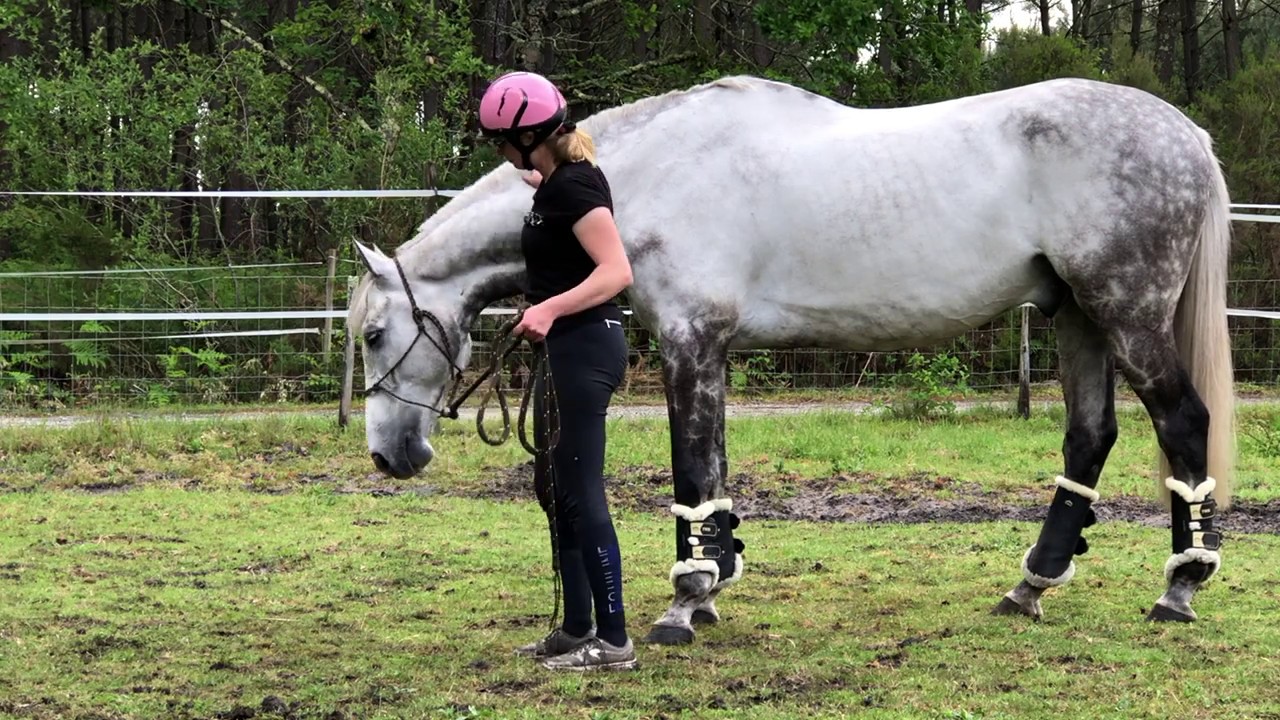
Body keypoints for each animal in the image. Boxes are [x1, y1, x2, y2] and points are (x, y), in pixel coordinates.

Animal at [347, 74, 1235, 645]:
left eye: (374, 335)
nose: (389, 455)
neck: (641, 177)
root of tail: (1186, 133)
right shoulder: (709, 351)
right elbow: (714, 477)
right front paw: (713, 585)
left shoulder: (689, 342)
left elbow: (691, 473)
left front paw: (684, 604)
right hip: (1077, 315)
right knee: (1089, 436)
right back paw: (1031, 585)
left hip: (1125, 312)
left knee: (1182, 420)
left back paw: (1180, 588)